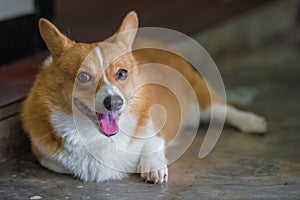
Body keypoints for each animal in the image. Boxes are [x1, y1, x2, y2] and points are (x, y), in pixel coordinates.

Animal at [22, 10, 266, 183]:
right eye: (83, 76)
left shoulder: (157, 126)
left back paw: (252, 122)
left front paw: (153, 166)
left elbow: (152, 142)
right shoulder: (48, 158)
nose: (114, 103)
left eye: (122, 73)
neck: (98, 137)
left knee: (224, 110)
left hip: (202, 97)